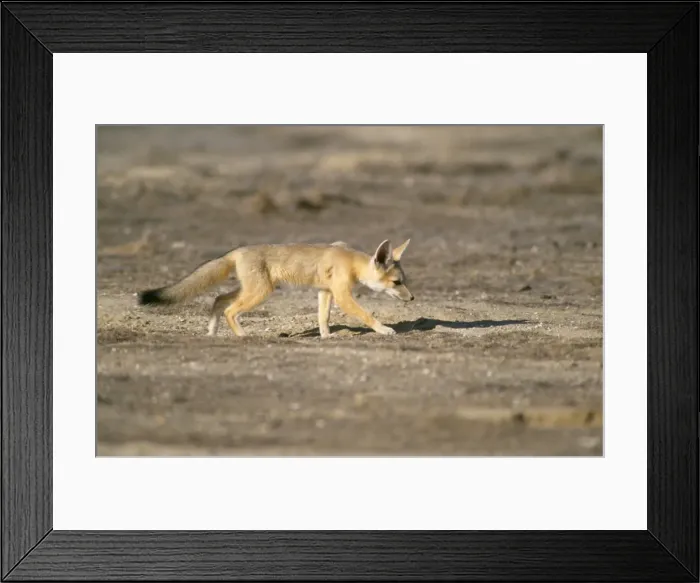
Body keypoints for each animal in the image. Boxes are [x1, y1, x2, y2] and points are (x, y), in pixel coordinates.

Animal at [137, 238, 414, 338]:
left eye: (404, 280)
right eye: (397, 283)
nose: (411, 298)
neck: (350, 260)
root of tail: (238, 250)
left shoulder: (325, 292)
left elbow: (323, 317)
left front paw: (326, 336)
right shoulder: (342, 295)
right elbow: (367, 314)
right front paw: (384, 330)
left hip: (252, 290)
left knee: (218, 300)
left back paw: (212, 331)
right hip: (260, 292)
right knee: (229, 311)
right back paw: (242, 335)